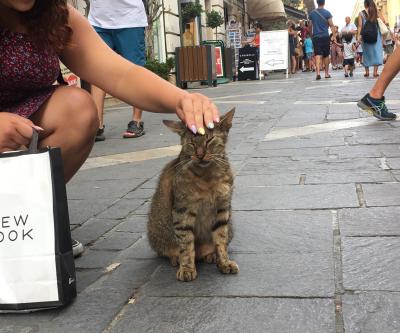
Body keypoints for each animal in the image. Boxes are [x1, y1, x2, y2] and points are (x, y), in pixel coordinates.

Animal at [148, 108, 239, 280]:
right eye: (191, 143)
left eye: (209, 140)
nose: (200, 154)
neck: (208, 177)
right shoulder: (182, 212)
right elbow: (186, 244)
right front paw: (187, 268)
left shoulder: (223, 209)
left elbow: (221, 239)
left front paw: (224, 261)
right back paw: (176, 258)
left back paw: (211, 255)